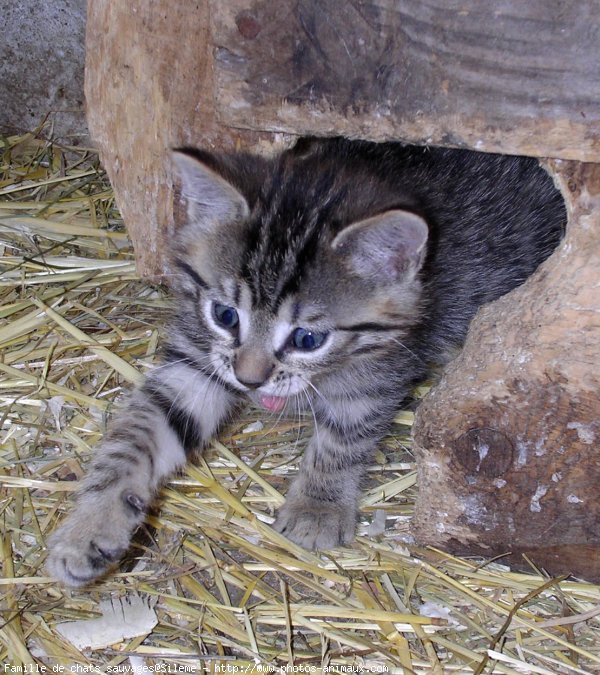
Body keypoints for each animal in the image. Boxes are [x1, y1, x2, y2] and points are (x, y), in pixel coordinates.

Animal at [45, 137, 564, 588]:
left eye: (307, 339)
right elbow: (136, 433)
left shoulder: (376, 374)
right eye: (225, 315)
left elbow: (342, 438)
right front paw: (89, 527)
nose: (250, 380)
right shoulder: (199, 361)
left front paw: (318, 506)